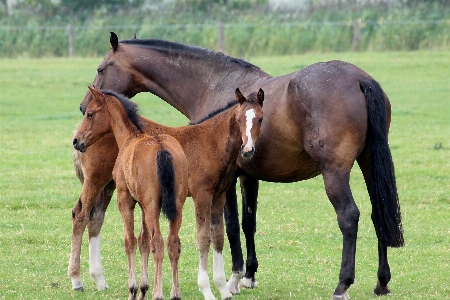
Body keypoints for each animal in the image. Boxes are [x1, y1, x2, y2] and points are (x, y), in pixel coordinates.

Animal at [73, 85, 188, 300]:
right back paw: (175, 293)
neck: (130, 137)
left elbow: (130, 241)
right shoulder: (142, 204)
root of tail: (161, 148)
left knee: (158, 243)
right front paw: (143, 288)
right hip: (176, 205)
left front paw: (133, 289)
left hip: (152, 206)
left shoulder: (125, 199)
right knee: (173, 243)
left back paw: (158, 293)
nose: (76, 141)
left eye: (90, 113)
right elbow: (142, 240)